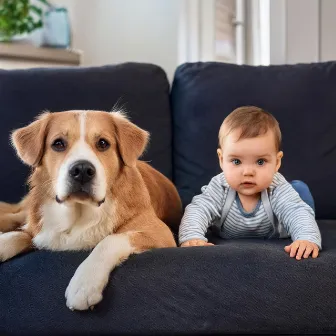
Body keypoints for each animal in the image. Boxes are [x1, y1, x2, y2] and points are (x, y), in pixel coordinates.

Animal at [0, 111, 181, 312]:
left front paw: (84, 284)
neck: (80, 213)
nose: (81, 170)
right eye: (58, 144)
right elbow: (20, 235)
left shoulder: (160, 232)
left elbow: (109, 240)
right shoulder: (40, 229)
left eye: (103, 143)